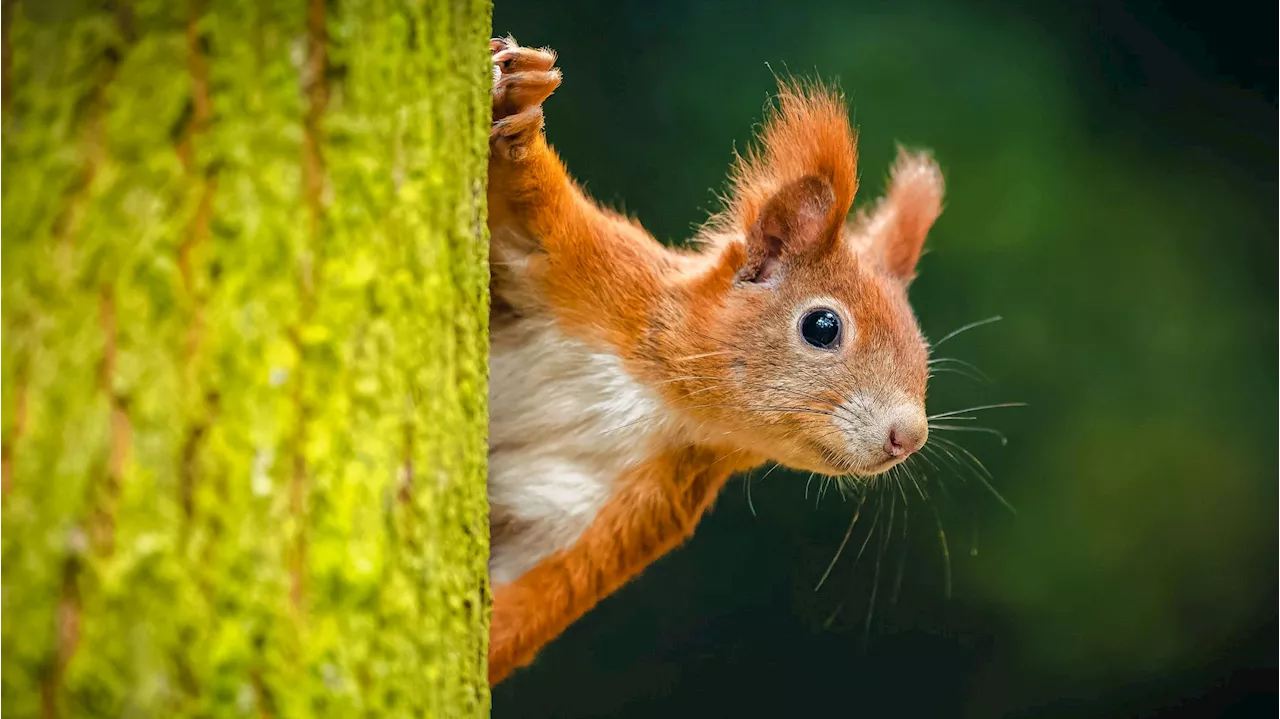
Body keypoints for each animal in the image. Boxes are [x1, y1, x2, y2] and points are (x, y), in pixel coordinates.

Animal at [483, 37, 947, 680]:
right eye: (823, 327)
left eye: (923, 351)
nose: (910, 436)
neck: (658, 398)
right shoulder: (592, 273)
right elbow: (529, 208)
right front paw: (521, 109)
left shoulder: (629, 506)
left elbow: (530, 595)